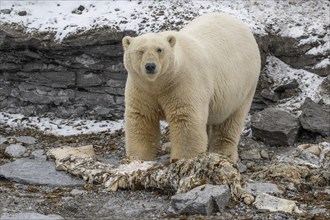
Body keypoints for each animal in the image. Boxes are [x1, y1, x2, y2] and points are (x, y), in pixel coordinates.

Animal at [121, 12, 260, 162]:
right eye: (140, 51)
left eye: (159, 49)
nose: (150, 66)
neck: (159, 83)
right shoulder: (141, 88)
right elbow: (142, 119)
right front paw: (137, 159)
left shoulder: (182, 83)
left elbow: (186, 118)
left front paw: (184, 159)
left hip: (244, 84)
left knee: (231, 119)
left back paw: (223, 152)